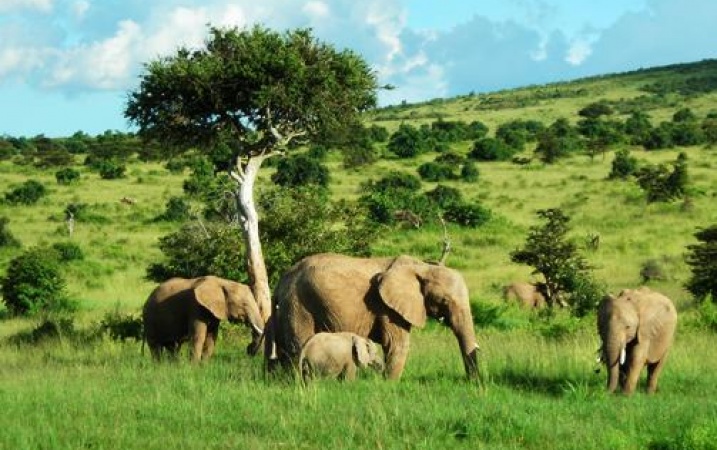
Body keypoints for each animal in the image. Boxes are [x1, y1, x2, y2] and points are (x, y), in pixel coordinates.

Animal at [264, 253, 482, 380]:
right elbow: (397, 344)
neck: (421, 266)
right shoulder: (387, 307)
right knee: (298, 345)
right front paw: (390, 386)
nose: (474, 383)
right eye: (444, 300)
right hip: (298, 304)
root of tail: (282, 280)